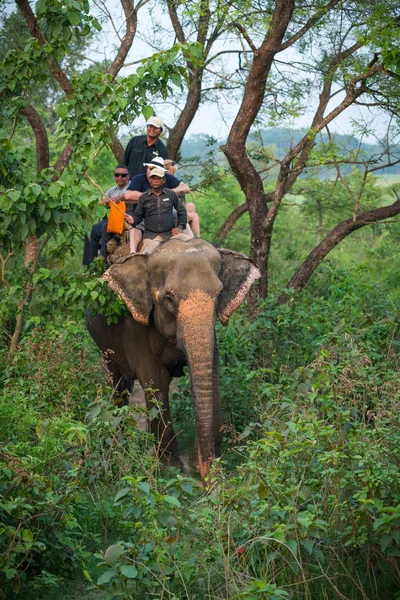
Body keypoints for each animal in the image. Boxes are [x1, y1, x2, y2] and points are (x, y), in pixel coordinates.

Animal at [86, 237, 260, 480]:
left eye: (218, 295)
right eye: (168, 299)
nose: (206, 476)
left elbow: (213, 378)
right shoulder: (135, 324)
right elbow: (154, 382)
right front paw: (171, 468)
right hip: (103, 342)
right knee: (119, 384)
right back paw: (119, 444)